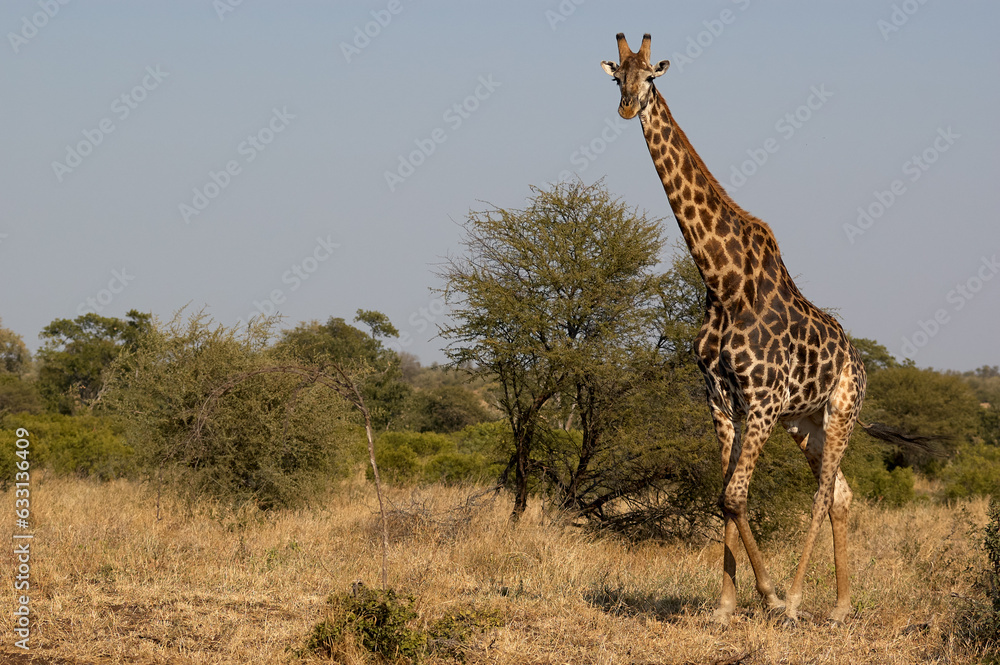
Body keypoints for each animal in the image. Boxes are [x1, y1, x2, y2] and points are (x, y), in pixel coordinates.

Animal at [602, 33, 867, 625]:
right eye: (616, 78)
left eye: (650, 76)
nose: (628, 107)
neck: (722, 283)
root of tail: (859, 360)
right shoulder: (721, 399)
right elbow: (722, 496)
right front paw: (725, 607)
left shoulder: (762, 401)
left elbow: (735, 496)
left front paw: (770, 596)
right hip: (804, 422)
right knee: (841, 493)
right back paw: (840, 607)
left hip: (839, 409)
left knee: (821, 495)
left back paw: (798, 600)